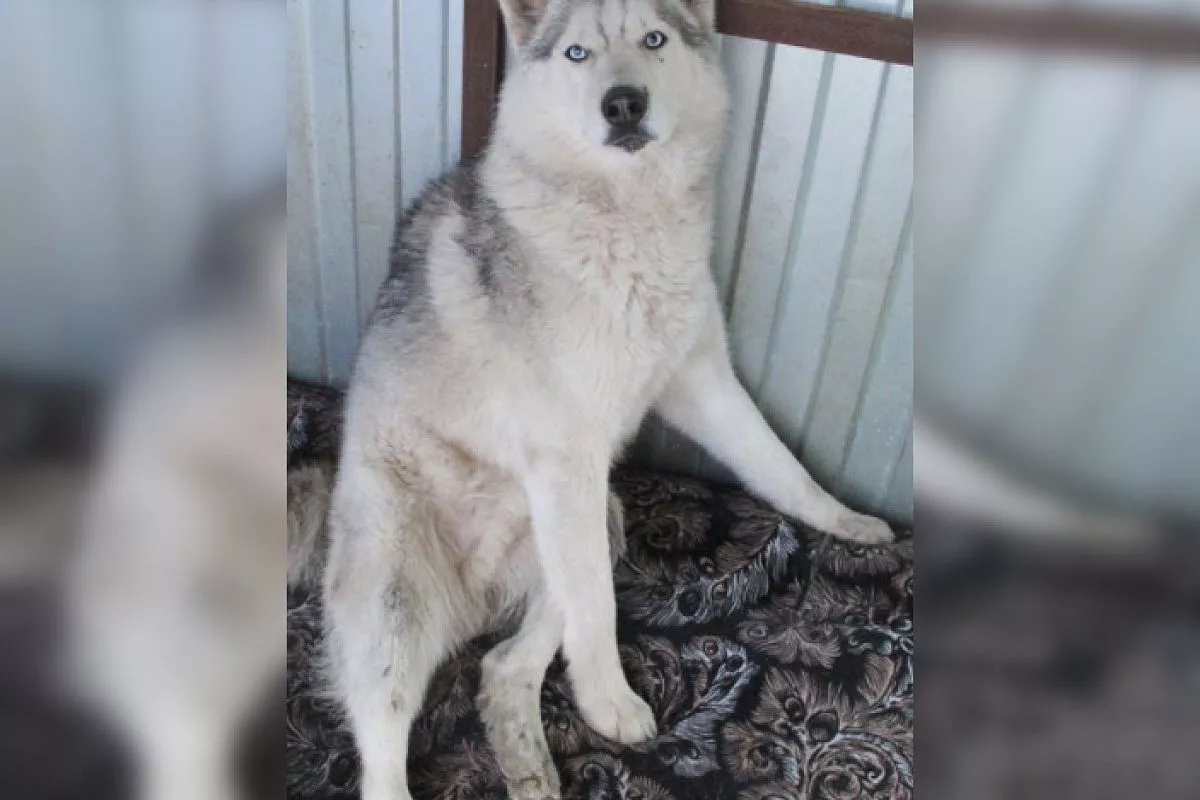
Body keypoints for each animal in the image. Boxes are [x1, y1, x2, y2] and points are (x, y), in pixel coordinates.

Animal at [307, 2, 894, 799]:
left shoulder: (703, 383)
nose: (623, 104)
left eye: (654, 39)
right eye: (578, 53)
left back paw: (527, 762)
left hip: (596, 518)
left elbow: (783, 468)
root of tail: (470, 598)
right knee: (384, 745)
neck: (623, 220)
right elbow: (600, 614)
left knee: (503, 665)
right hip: (401, 606)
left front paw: (849, 522)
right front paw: (610, 703)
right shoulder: (568, 454)